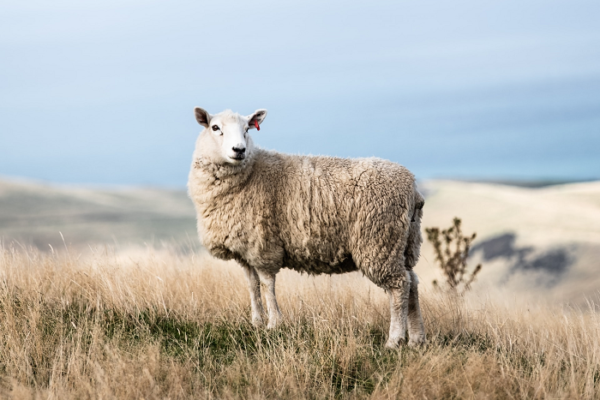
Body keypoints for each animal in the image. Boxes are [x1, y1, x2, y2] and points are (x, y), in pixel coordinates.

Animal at [188, 107, 426, 346]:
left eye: (247, 129)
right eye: (215, 127)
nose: (239, 150)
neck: (251, 172)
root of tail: (412, 187)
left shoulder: (264, 246)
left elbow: (267, 285)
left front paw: (274, 324)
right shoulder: (245, 250)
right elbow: (252, 285)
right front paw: (256, 322)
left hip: (379, 241)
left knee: (399, 286)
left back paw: (394, 340)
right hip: (404, 243)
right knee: (412, 282)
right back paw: (416, 339)